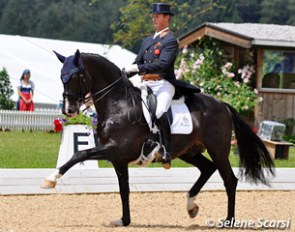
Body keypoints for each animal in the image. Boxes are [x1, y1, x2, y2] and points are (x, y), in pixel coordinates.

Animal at [41, 50, 276, 227]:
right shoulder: (118, 159)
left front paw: (51, 179)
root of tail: (222, 105)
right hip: (189, 151)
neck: (118, 103)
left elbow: (79, 153)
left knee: (229, 180)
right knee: (207, 169)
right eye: (62, 77)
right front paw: (124, 220)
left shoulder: (115, 149)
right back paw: (191, 206)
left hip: (218, 150)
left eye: (77, 77)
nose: (69, 110)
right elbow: (124, 189)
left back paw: (228, 221)